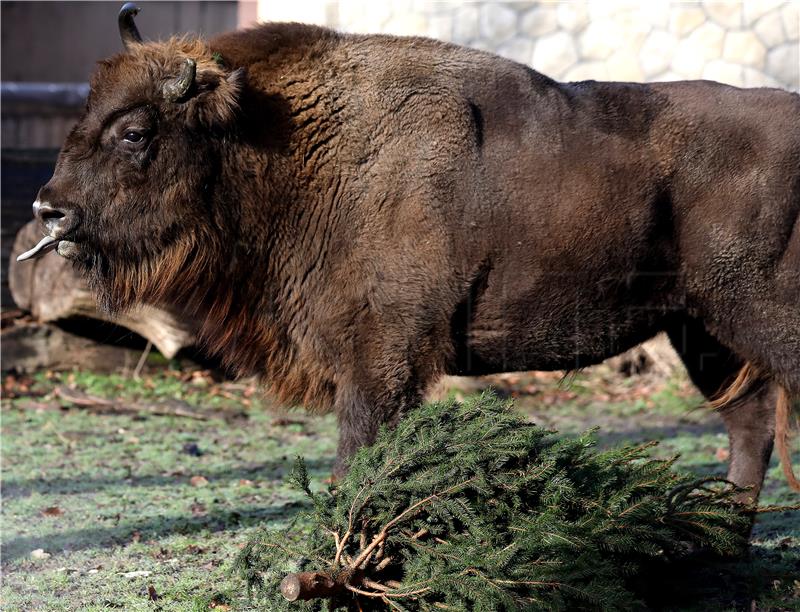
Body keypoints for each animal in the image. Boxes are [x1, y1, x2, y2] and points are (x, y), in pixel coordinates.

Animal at [18, 4, 800, 502]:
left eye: (135, 131)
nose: (48, 209)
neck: (283, 140)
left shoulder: (380, 355)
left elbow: (358, 454)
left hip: (752, 322)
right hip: (702, 331)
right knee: (749, 423)